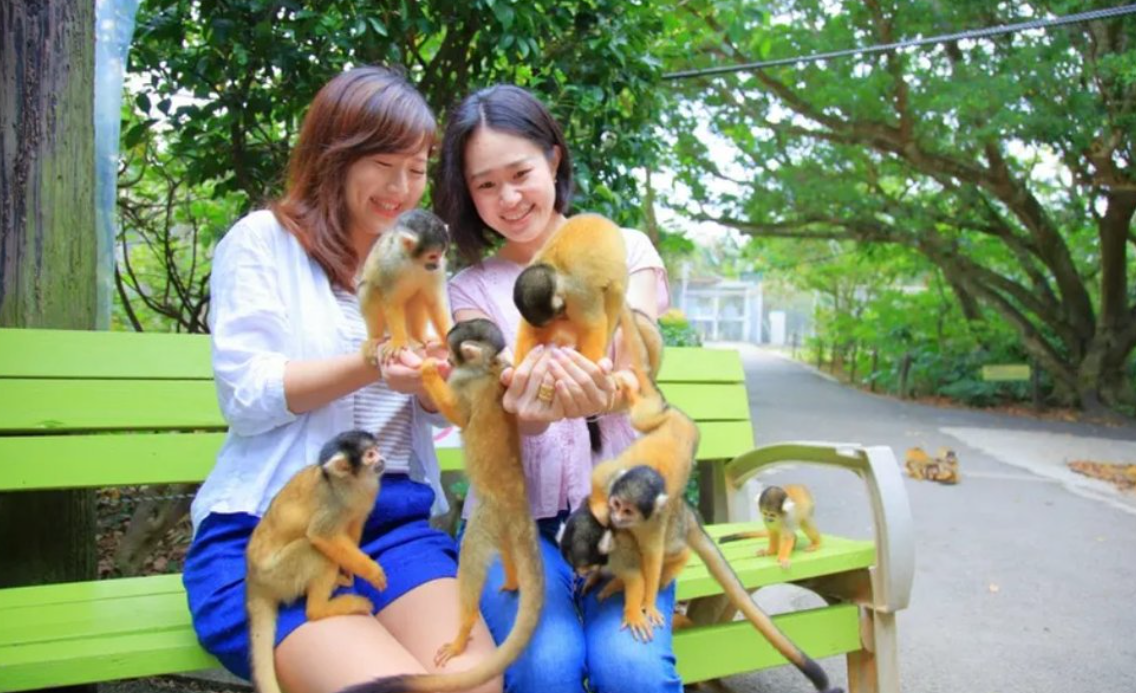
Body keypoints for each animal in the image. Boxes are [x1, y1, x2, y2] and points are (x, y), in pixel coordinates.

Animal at [245, 430, 388, 693]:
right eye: (370, 455)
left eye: (377, 450)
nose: (382, 459)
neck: (347, 483)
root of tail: (254, 581)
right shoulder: (333, 505)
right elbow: (321, 536)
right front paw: (371, 571)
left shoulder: (364, 498)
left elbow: (351, 527)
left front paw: (349, 571)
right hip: (279, 574)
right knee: (314, 552)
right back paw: (322, 609)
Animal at [340, 318, 543, 693]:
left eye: (452, 350)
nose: (445, 356)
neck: (486, 367)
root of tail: (518, 501)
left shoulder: (464, 382)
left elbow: (460, 416)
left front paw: (428, 370)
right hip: (502, 522)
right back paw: (512, 581)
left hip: (485, 516)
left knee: (471, 556)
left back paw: (463, 633)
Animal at [357, 208, 452, 363]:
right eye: (432, 256)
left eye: (442, 254)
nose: (437, 265)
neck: (414, 261)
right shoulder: (390, 265)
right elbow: (392, 303)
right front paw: (398, 342)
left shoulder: (436, 271)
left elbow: (434, 303)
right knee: (369, 289)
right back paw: (375, 339)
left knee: (419, 295)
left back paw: (418, 337)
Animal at [512, 213, 628, 365]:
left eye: (559, 311)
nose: (563, 316)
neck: (558, 274)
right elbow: (531, 330)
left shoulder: (579, 293)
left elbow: (594, 324)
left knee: (615, 289)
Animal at [559, 467, 843, 693]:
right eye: (577, 566)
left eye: (585, 564)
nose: (581, 572)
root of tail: (690, 516)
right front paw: (596, 578)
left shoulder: (620, 548)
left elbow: (635, 576)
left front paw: (632, 609)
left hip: (669, 530)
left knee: (665, 552)